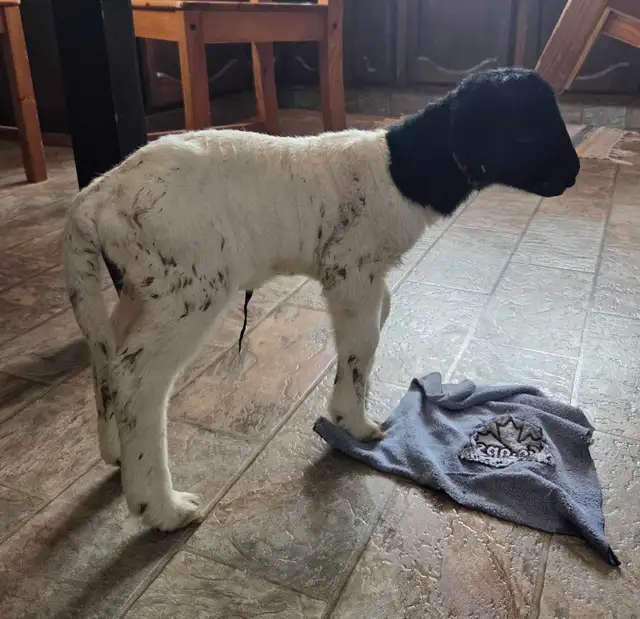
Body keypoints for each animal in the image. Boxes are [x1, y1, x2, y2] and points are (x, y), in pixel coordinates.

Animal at [63, 67, 580, 532]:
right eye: (528, 128)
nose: (575, 174)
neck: (399, 169)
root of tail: (96, 198)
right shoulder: (350, 270)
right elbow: (362, 344)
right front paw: (354, 423)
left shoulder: (367, 277)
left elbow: (375, 322)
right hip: (191, 289)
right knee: (138, 380)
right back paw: (161, 506)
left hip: (143, 288)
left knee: (107, 355)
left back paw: (115, 452)